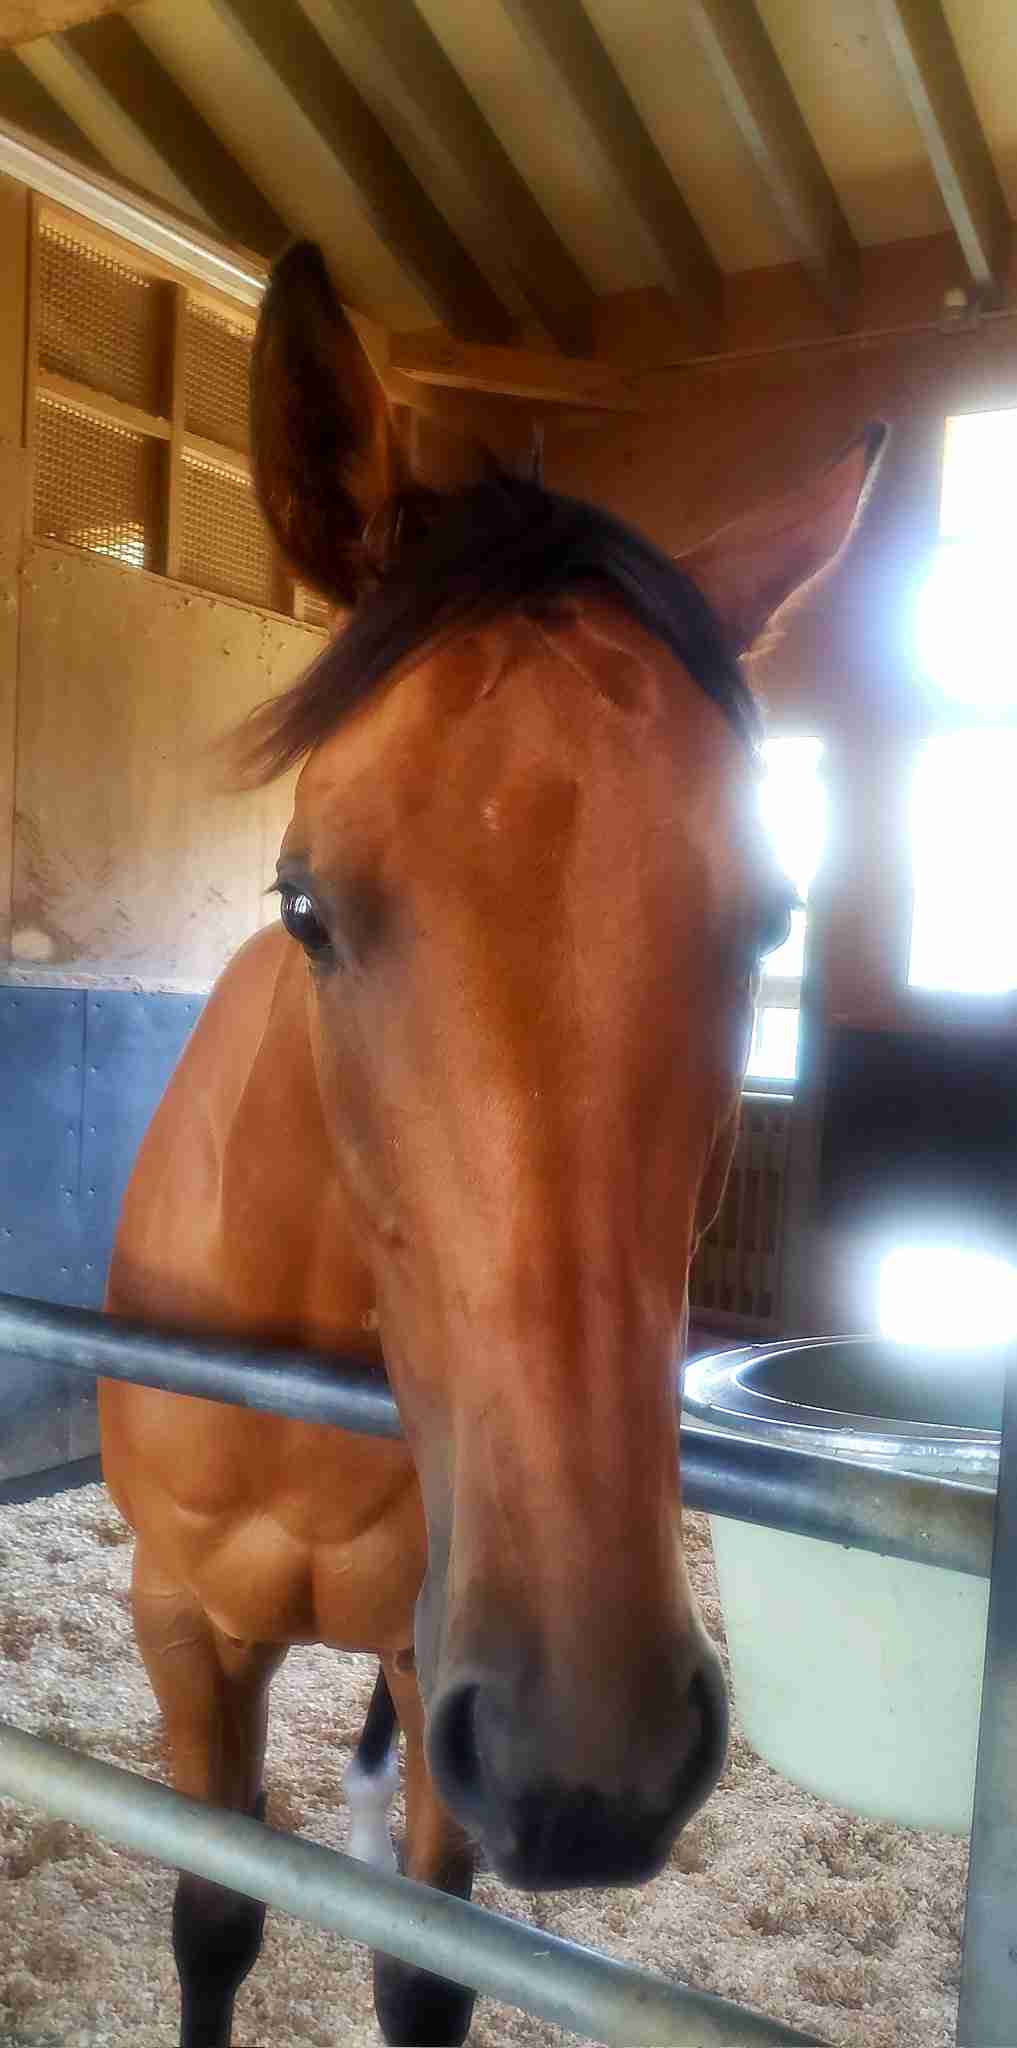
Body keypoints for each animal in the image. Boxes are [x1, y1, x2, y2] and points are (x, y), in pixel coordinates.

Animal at [98, 241, 883, 2048]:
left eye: (770, 922)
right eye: (305, 904)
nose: (589, 1760)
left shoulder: (430, 1661)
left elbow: (423, 1972)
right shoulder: (186, 1632)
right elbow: (211, 1920)